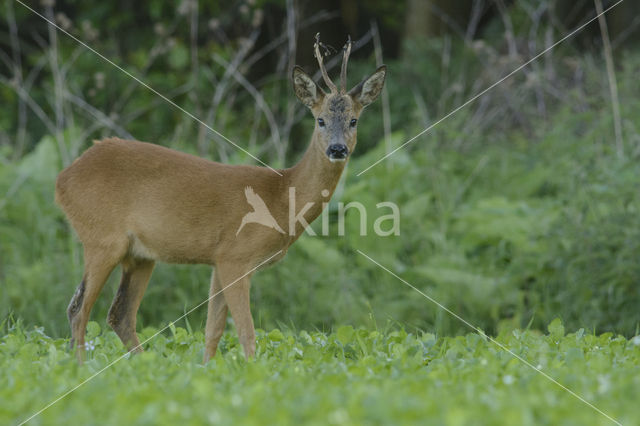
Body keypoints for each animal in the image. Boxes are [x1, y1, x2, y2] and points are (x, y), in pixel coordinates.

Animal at [56, 34, 384, 362]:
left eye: (354, 120)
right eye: (320, 120)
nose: (337, 149)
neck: (281, 196)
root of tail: (63, 179)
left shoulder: (218, 260)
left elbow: (212, 330)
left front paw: (208, 369)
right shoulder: (235, 256)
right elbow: (246, 333)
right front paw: (252, 369)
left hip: (140, 255)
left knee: (118, 313)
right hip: (102, 238)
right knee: (79, 310)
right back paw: (80, 366)